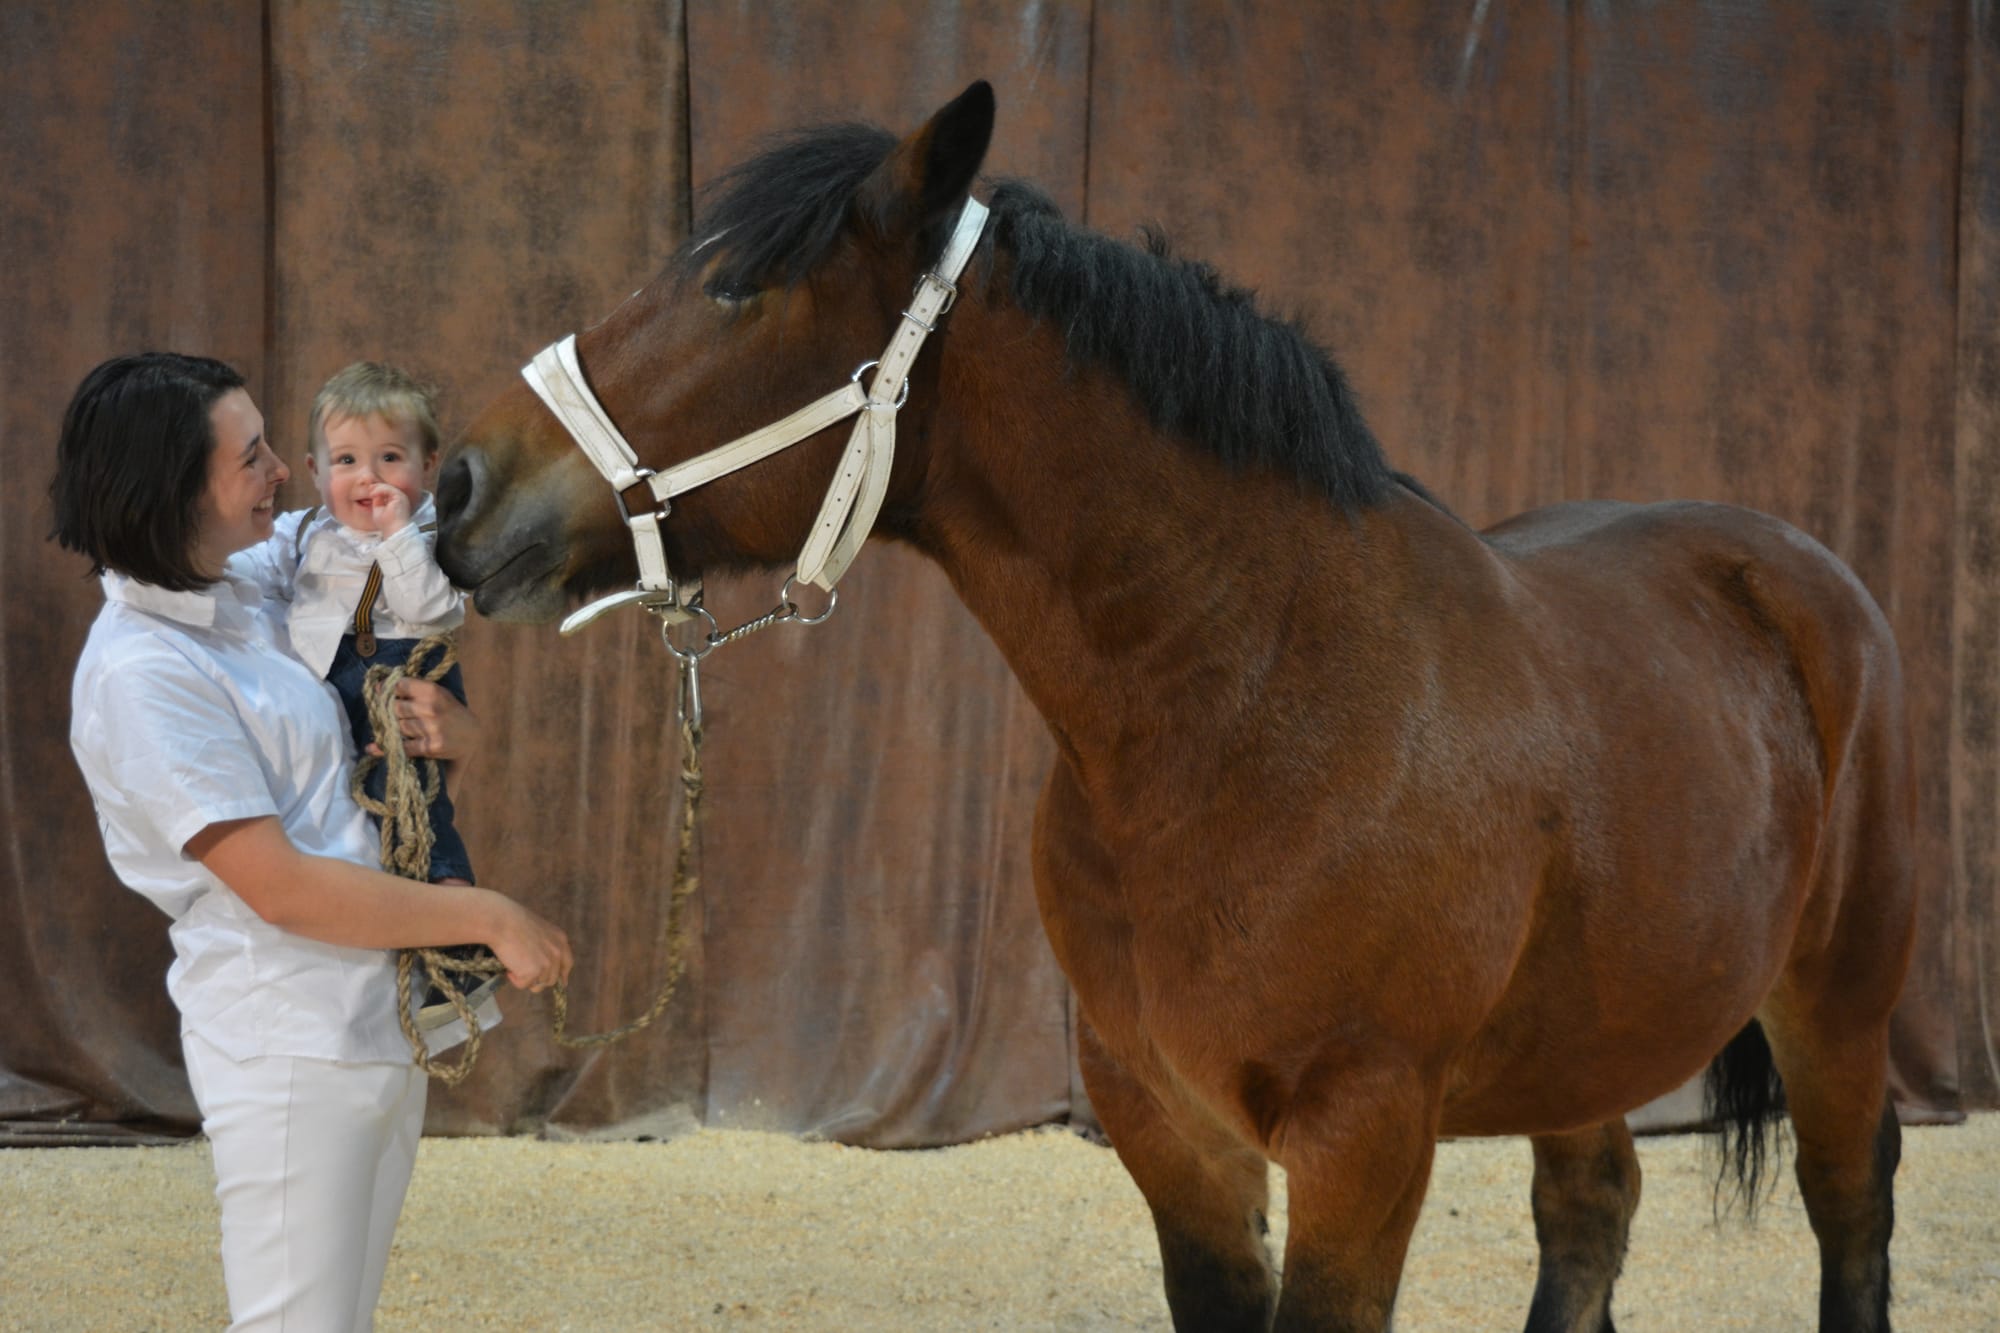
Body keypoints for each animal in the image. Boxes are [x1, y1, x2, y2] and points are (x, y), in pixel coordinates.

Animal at [442, 85, 1920, 1328]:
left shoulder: (1364, 1136)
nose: (460, 486)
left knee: (1847, 1204)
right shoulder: (1168, 1128)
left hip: (1836, 1000)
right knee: (1589, 1212)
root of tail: (1795, 568)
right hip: (1588, 1038)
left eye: (736, 289)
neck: (1248, 709)